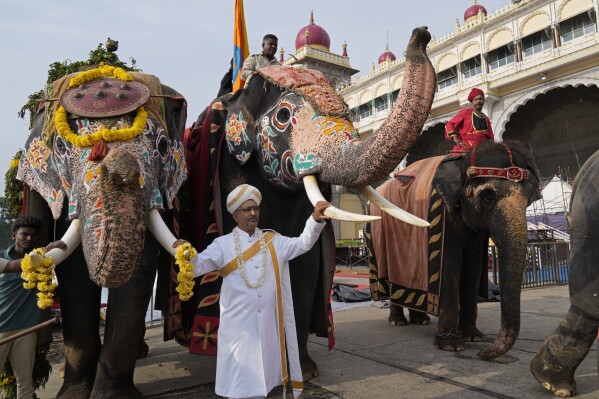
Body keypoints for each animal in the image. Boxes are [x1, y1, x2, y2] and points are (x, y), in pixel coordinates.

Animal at [17, 64, 188, 398]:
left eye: (163, 147)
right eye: (61, 146)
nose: (121, 169)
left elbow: (139, 274)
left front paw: (112, 395)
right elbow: (73, 274)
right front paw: (73, 395)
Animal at [169, 25, 436, 382]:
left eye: (350, 112)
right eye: (283, 116)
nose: (422, 33)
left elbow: (305, 263)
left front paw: (304, 372)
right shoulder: (230, 167)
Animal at [368, 142, 540, 360]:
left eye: (529, 199)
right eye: (488, 196)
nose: (482, 353)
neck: (462, 160)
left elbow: (472, 268)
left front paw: (473, 337)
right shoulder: (444, 214)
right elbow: (450, 265)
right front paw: (451, 345)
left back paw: (421, 320)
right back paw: (397, 322)